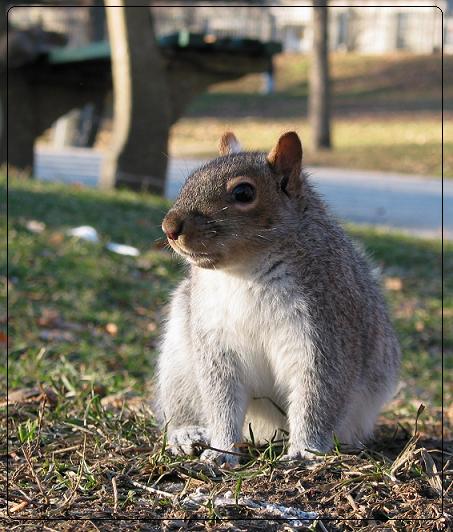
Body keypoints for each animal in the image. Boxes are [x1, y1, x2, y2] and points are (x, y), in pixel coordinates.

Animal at [155, 131, 400, 464]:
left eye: (244, 192)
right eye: (191, 178)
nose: (170, 227)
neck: (246, 271)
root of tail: (266, 429)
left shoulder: (325, 331)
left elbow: (317, 396)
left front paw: (305, 451)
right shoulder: (215, 339)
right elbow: (222, 401)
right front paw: (221, 450)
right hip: (179, 362)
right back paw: (188, 432)